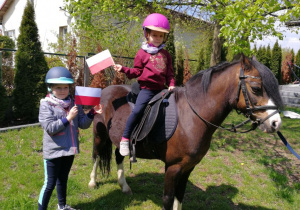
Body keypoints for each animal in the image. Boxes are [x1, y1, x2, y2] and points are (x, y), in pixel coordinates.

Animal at [88, 55, 282, 209]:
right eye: (256, 88)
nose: (276, 123)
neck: (192, 116)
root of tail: (105, 90)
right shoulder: (173, 167)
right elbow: (168, 199)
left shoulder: (188, 166)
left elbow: (179, 196)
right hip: (99, 136)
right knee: (96, 155)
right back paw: (92, 182)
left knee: (118, 155)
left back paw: (124, 186)